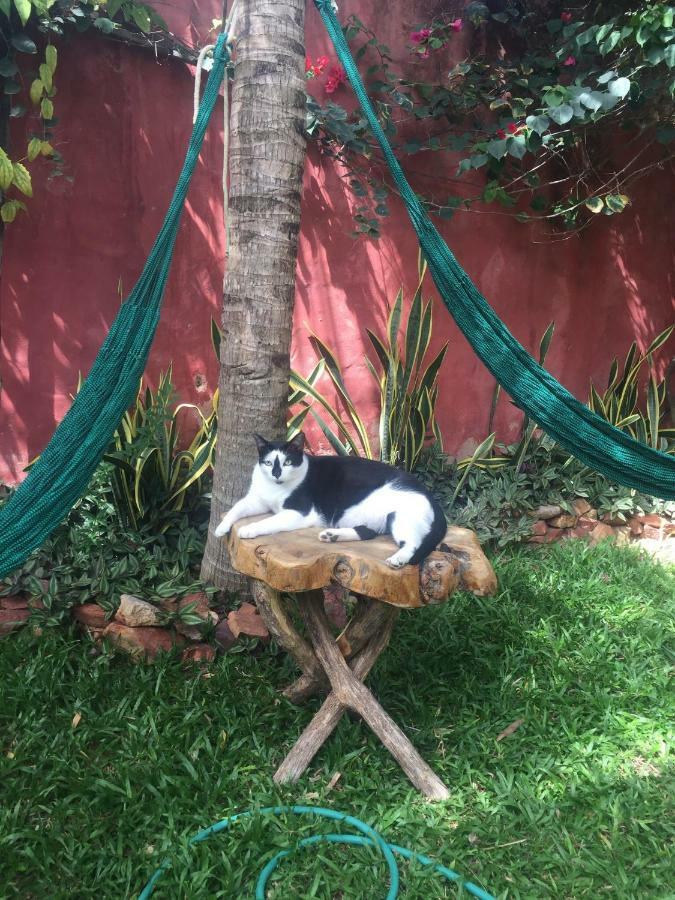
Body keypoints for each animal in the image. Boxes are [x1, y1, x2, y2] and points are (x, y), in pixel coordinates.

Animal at [217, 434, 448, 568]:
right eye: (267, 463)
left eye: (288, 462)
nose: (276, 474)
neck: (275, 488)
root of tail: (430, 495)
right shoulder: (256, 500)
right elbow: (236, 507)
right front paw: (220, 527)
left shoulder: (300, 512)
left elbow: (268, 521)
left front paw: (248, 529)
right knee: (368, 532)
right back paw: (332, 536)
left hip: (401, 517)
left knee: (412, 543)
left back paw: (397, 559)